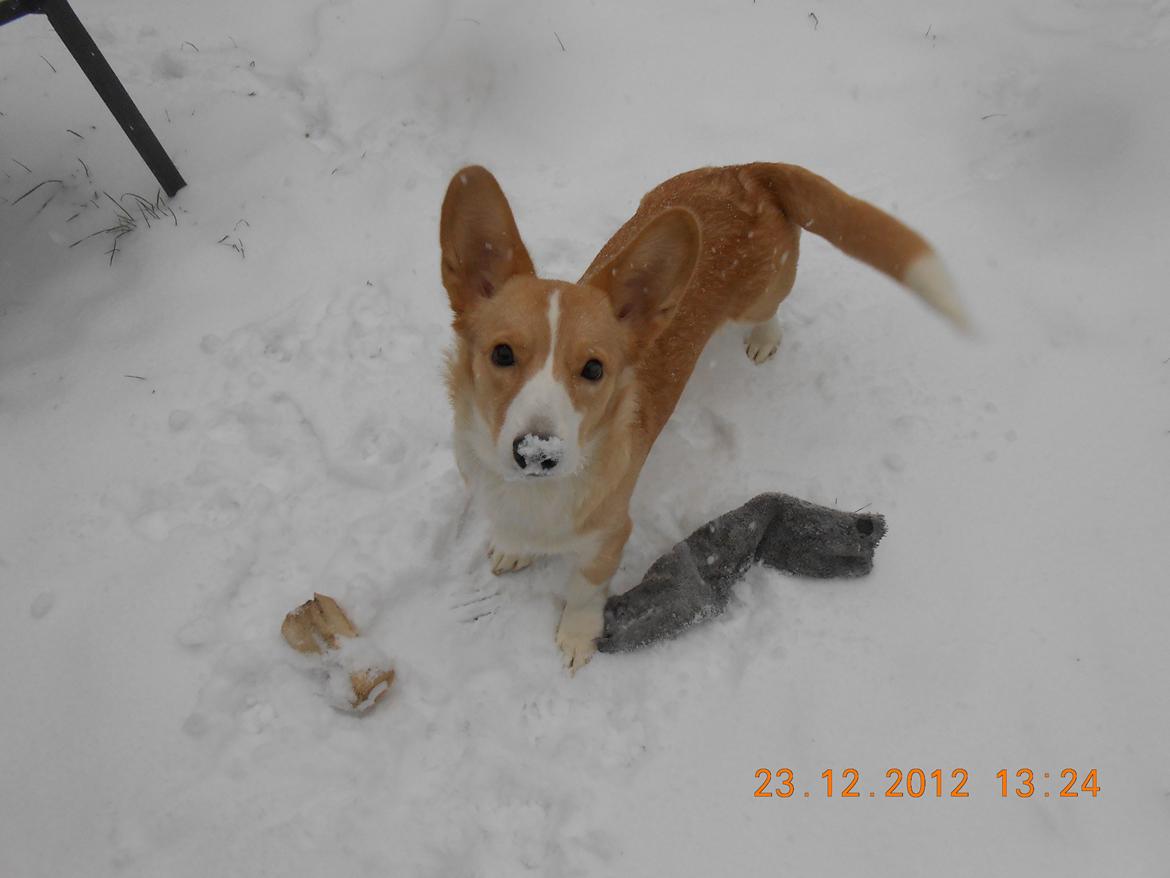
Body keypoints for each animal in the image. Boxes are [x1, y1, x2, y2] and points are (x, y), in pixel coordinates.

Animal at [435, 165, 964, 674]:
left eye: (594, 369)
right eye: (502, 354)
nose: (536, 453)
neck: (536, 494)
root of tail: (751, 172)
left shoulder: (610, 536)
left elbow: (585, 589)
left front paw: (576, 638)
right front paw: (514, 547)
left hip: (757, 295)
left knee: (771, 307)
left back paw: (764, 339)